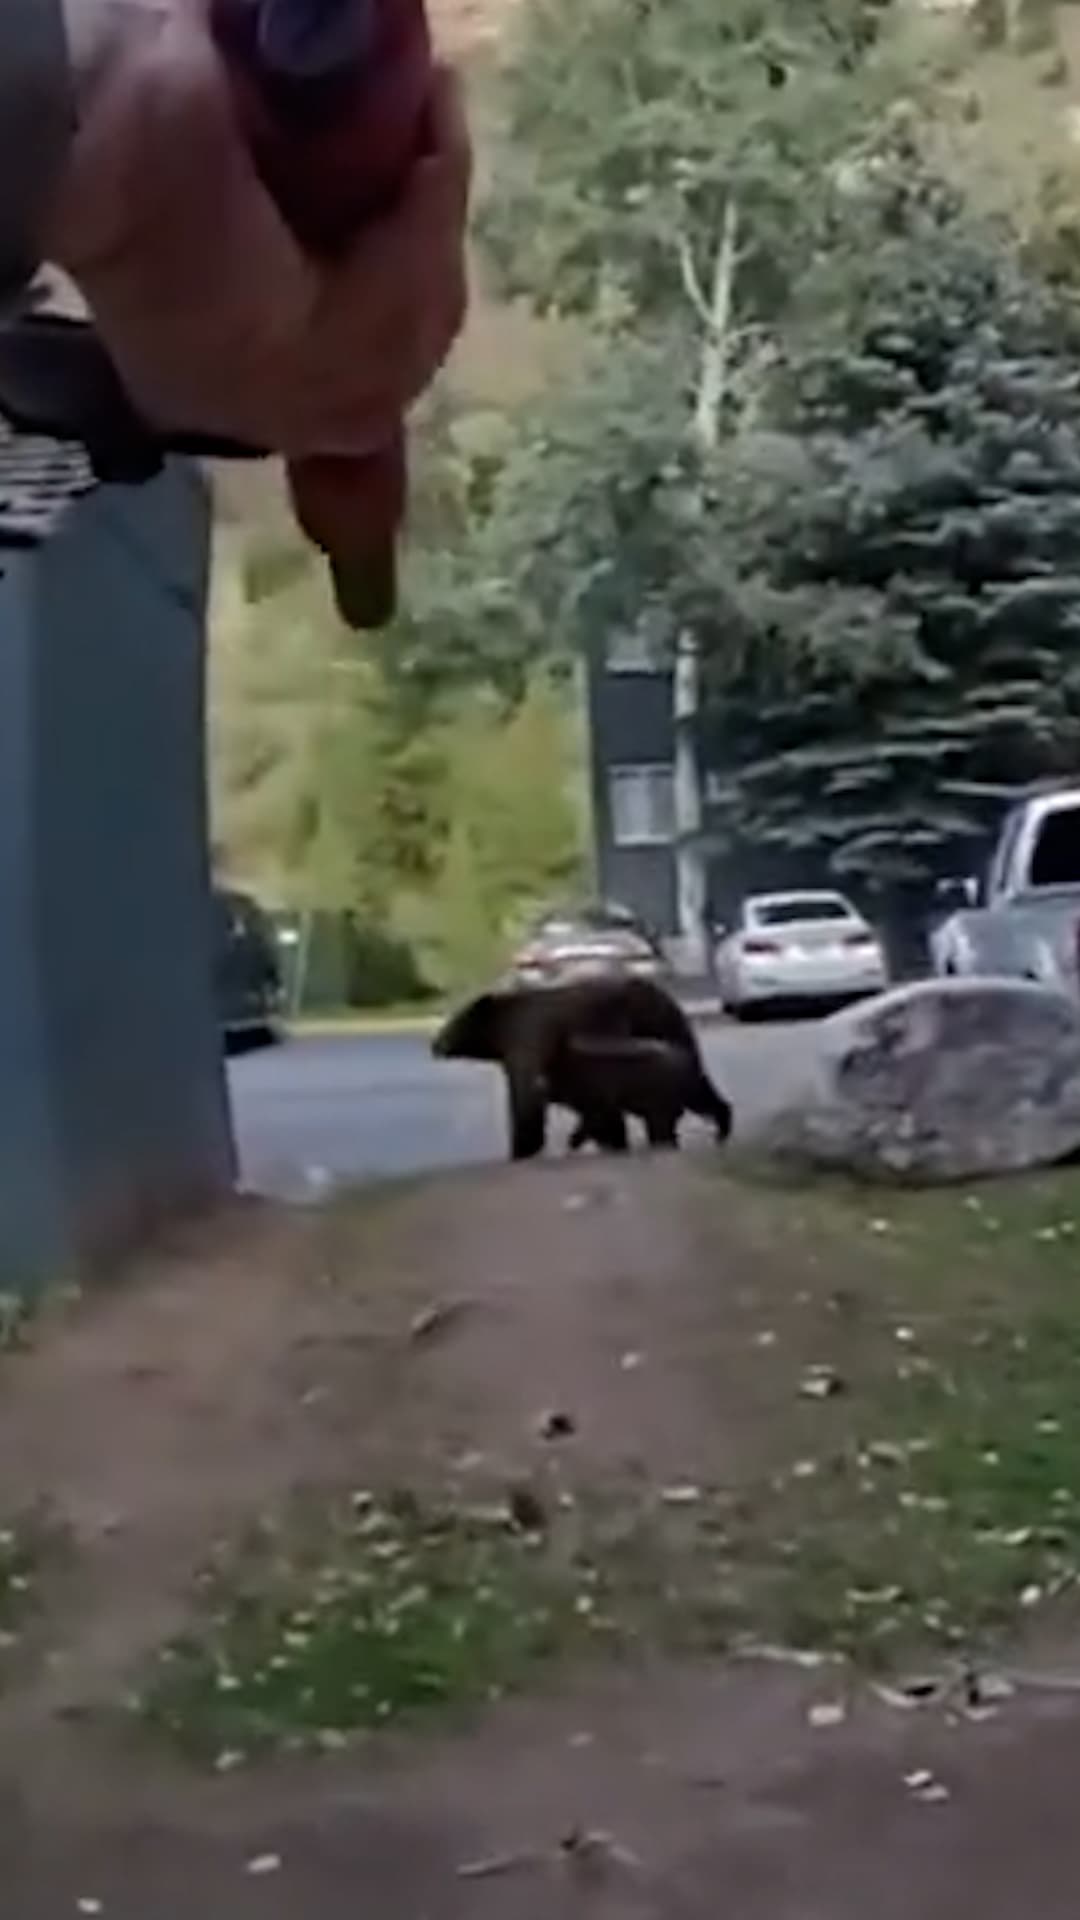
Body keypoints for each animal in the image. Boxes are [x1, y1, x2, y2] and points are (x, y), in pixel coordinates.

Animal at [432, 975, 733, 1161]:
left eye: (452, 1023)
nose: (435, 1044)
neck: (502, 1027)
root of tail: (662, 992)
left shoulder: (529, 1038)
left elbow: (526, 1096)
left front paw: (522, 1149)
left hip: (657, 1024)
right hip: (667, 1030)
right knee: (699, 1084)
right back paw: (720, 1122)